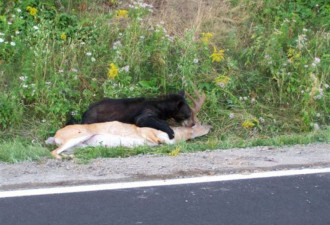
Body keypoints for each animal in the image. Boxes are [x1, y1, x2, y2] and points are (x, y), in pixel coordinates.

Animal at [45, 90, 210, 159]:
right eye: (198, 123)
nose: (211, 127)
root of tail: (55, 136)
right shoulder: (146, 126)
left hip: (81, 145)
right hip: (81, 134)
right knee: (54, 152)